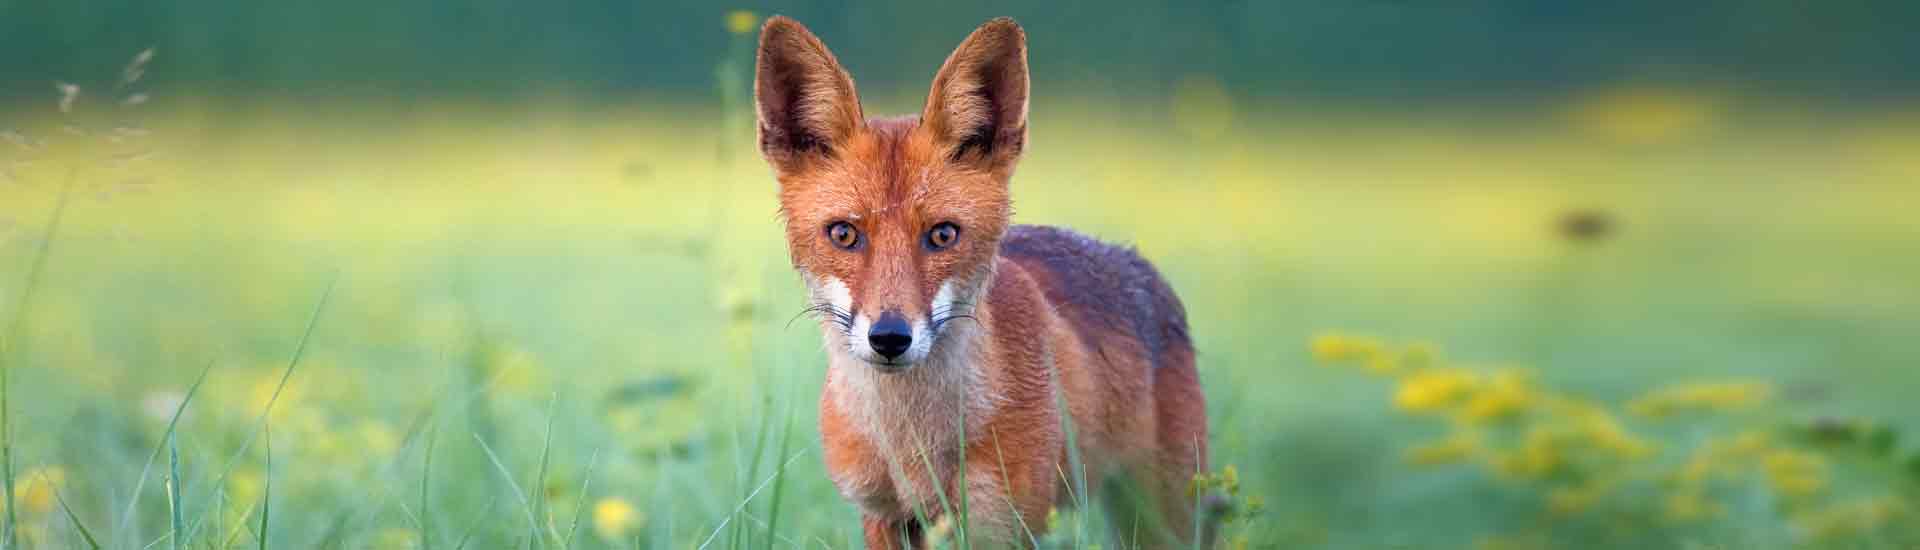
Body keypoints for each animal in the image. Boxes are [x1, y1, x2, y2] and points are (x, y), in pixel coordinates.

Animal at [754, 16, 1210, 549]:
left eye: (942, 234)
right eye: (844, 234)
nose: (889, 337)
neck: (912, 443)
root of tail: (1134, 258)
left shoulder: (1002, 521)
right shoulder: (881, 515)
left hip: (1165, 514)